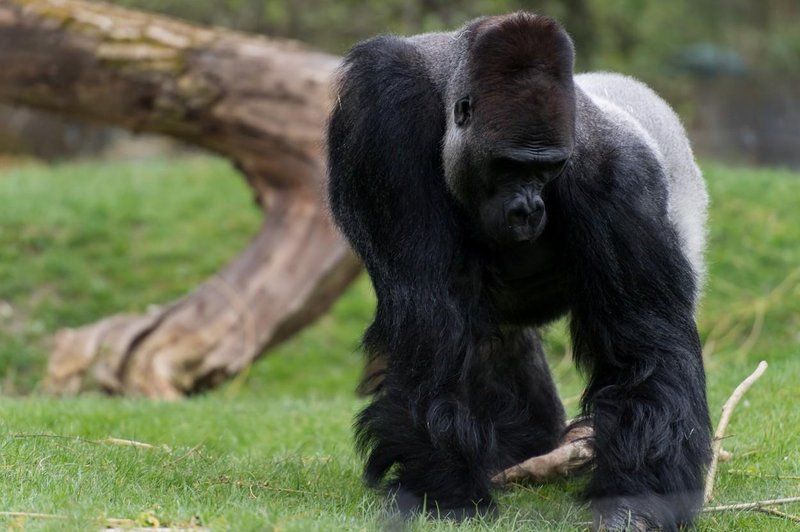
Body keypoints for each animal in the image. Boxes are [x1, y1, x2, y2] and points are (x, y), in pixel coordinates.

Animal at [324, 12, 712, 532]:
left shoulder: (616, 176)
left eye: (547, 170)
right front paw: (445, 490)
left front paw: (638, 503)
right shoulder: (386, 111)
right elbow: (431, 314)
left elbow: (647, 349)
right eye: (507, 166)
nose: (528, 210)